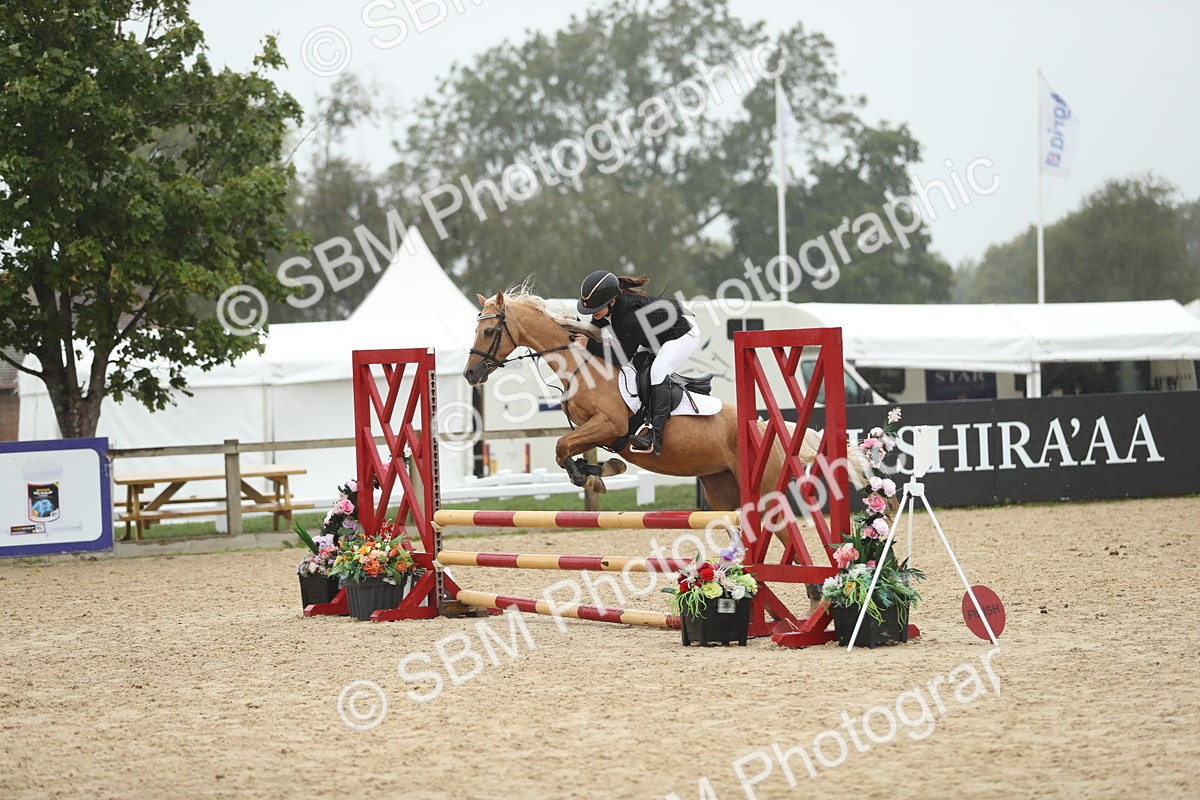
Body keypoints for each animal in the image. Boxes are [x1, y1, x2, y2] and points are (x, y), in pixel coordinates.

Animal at [461, 284, 868, 516]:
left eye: (490, 331)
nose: (470, 374)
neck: (581, 368)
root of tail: (766, 425)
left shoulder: (610, 425)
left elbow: (562, 447)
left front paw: (595, 476)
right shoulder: (596, 431)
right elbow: (566, 452)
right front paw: (602, 473)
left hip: (760, 489)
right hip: (722, 489)